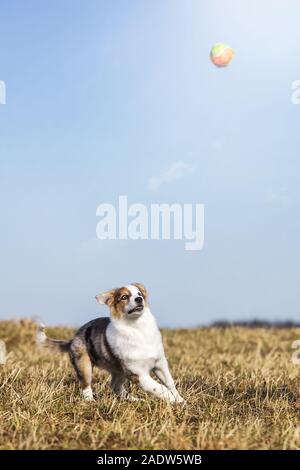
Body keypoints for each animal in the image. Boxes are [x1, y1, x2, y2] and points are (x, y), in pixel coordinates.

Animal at [36, 282, 184, 404]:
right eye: (124, 297)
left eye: (139, 294)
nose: (139, 299)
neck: (137, 327)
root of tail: (73, 339)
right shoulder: (137, 374)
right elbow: (158, 387)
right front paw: (171, 399)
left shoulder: (160, 363)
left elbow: (169, 383)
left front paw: (179, 400)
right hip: (85, 366)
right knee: (86, 386)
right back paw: (91, 402)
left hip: (119, 371)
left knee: (115, 387)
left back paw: (134, 400)